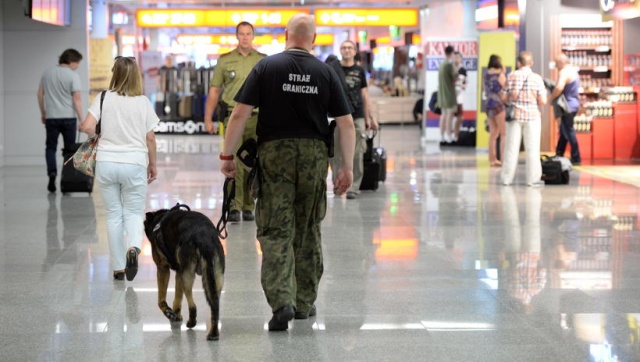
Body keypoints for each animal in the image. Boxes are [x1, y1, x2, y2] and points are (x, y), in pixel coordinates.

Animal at [144, 204, 225, 340]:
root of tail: (204, 236)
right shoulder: (178, 272)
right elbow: (178, 298)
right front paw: (176, 315)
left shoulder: (163, 269)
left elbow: (161, 299)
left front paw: (168, 312)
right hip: (215, 279)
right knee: (215, 305)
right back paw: (213, 333)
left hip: (187, 276)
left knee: (192, 304)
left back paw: (192, 322)